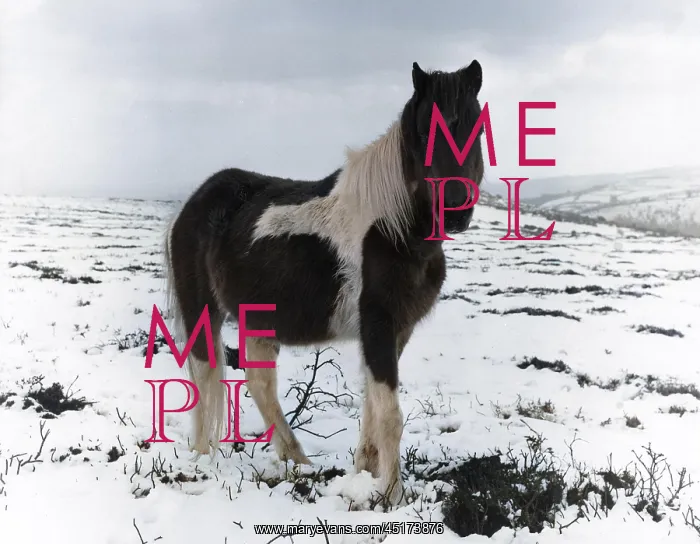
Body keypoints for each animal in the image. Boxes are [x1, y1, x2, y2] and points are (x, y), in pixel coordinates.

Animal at [163, 60, 486, 505]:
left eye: (476, 127)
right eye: (424, 132)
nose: (455, 210)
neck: (392, 226)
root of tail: (193, 204)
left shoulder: (397, 329)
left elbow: (371, 404)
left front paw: (365, 472)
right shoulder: (378, 324)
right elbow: (390, 414)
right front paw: (392, 496)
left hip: (258, 318)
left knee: (260, 383)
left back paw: (298, 462)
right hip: (201, 311)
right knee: (206, 377)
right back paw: (203, 458)